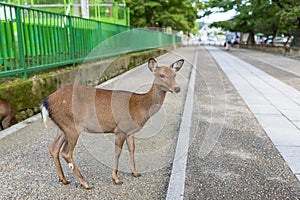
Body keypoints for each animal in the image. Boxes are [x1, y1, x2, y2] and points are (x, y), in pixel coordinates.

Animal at [39, 57, 184, 189]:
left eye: (175, 74)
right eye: (161, 75)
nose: (177, 89)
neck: (140, 107)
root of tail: (46, 102)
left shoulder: (130, 131)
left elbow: (132, 149)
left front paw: (135, 173)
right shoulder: (120, 128)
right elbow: (117, 152)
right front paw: (116, 179)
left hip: (62, 127)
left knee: (53, 148)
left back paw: (64, 179)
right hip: (72, 126)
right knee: (66, 152)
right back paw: (85, 183)